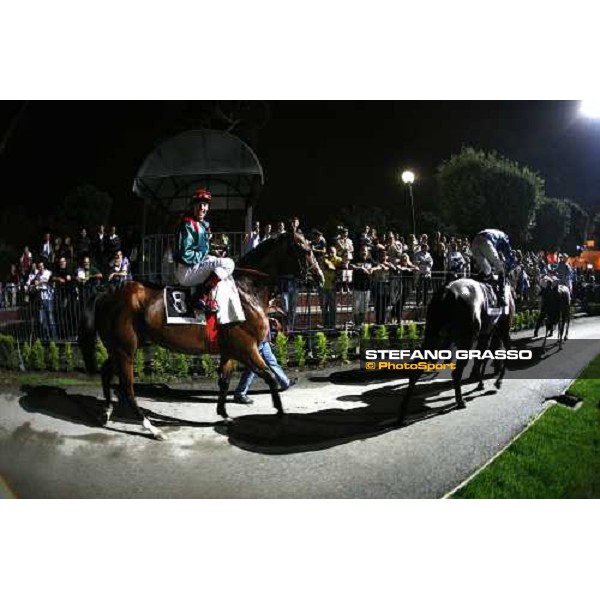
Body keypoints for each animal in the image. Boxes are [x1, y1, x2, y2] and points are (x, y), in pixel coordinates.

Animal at [80, 232, 326, 438]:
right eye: (305, 250)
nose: (320, 277)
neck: (245, 291)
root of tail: (107, 291)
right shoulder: (247, 348)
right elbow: (270, 377)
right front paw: (281, 415)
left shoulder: (230, 350)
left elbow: (224, 381)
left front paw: (224, 414)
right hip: (126, 349)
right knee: (127, 388)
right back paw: (150, 427)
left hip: (120, 346)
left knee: (106, 373)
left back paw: (107, 411)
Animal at [398, 278, 516, 426]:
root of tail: (446, 292)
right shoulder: (501, 329)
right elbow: (498, 353)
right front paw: (495, 382)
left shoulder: (486, 332)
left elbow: (482, 357)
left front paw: (481, 382)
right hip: (466, 339)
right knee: (456, 372)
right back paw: (460, 401)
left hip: (434, 335)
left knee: (416, 369)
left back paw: (403, 414)